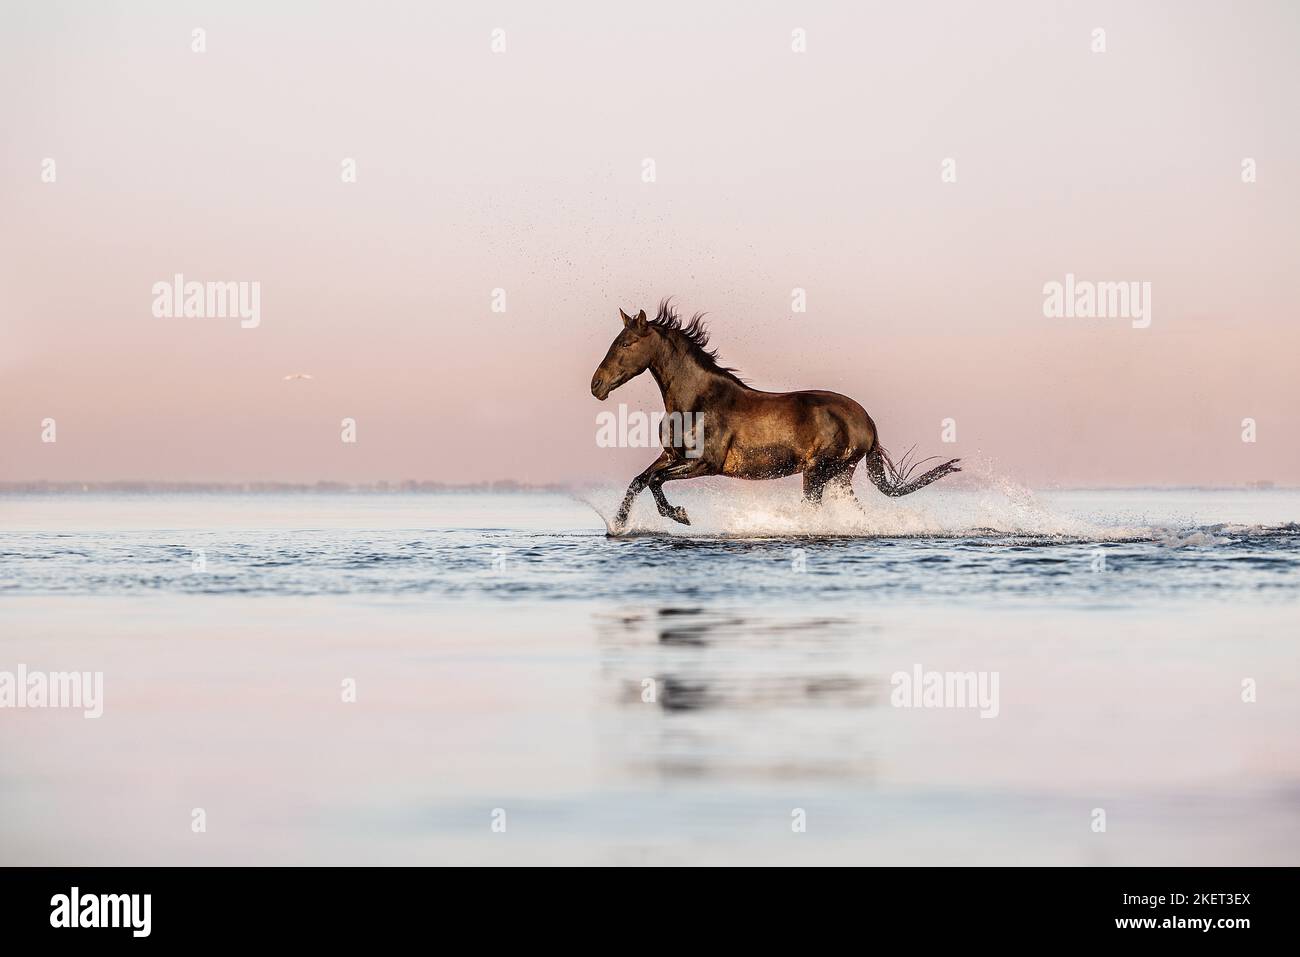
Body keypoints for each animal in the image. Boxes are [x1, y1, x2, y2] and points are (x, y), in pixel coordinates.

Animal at [595, 299, 961, 530]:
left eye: (626, 343)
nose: (596, 385)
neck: (696, 400)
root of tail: (867, 421)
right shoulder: (671, 455)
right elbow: (640, 480)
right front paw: (618, 525)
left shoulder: (705, 463)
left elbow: (654, 480)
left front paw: (680, 515)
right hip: (840, 476)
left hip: (818, 471)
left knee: (814, 509)